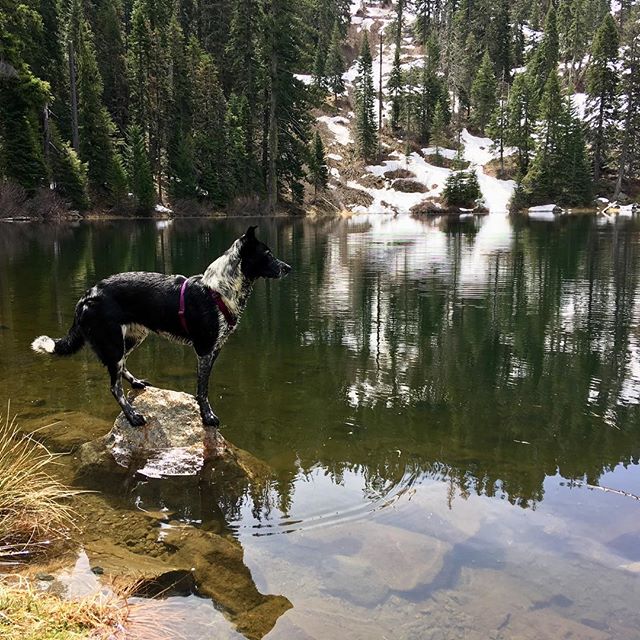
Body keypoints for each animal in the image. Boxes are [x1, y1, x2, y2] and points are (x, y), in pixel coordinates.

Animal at [30, 228, 290, 428]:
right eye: (267, 254)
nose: (288, 267)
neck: (218, 290)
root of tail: (87, 295)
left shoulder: (214, 349)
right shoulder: (205, 350)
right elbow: (202, 390)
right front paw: (207, 417)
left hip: (133, 336)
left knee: (122, 369)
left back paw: (135, 382)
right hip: (112, 342)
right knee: (115, 387)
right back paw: (133, 417)